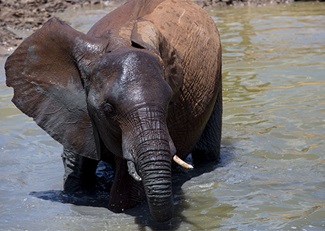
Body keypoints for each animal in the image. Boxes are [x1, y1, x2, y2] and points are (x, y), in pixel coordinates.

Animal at [5, 0, 221, 222]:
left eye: (170, 103)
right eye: (108, 109)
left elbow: (124, 198)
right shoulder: (76, 112)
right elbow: (75, 177)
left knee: (206, 153)